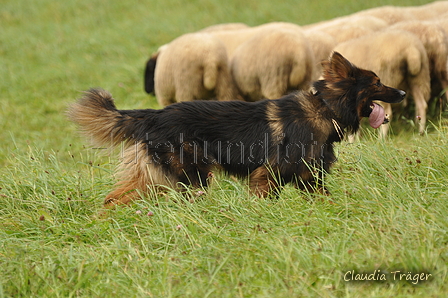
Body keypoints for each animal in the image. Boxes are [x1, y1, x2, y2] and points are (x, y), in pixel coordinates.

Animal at [69, 52, 406, 206]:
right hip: (192, 175)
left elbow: (325, 198)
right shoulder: (267, 175)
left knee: (113, 199)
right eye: (377, 82)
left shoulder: (309, 178)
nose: (402, 93)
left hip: (156, 177)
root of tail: (154, 115)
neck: (325, 108)